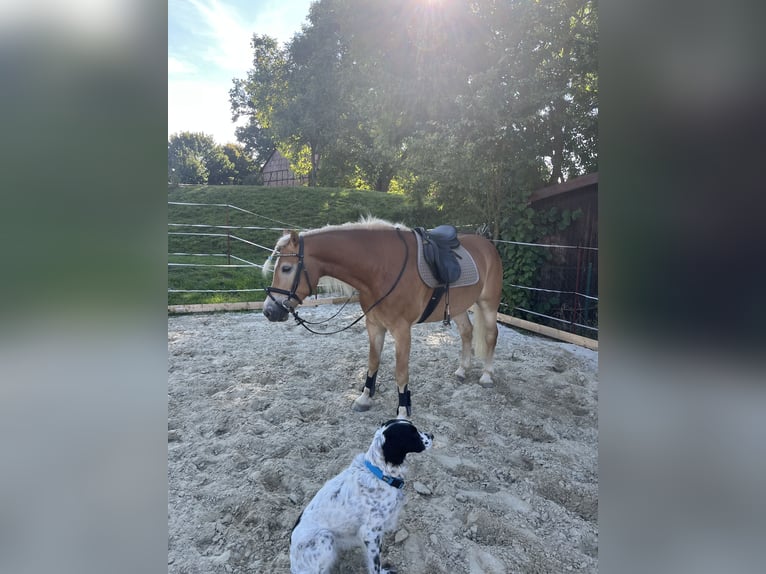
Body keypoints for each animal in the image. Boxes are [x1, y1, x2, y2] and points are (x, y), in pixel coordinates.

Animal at [262, 218, 503, 419]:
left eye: (286, 268)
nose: (269, 311)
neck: (380, 268)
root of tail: (487, 244)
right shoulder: (374, 325)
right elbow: (373, 362)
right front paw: (364, 398)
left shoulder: (402, 331)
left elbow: (401, 373)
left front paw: (403, 411)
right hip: (459, 307)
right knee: (467, 332)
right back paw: (462, 370)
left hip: (488, 305)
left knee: (491, 335)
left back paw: (487, 376)